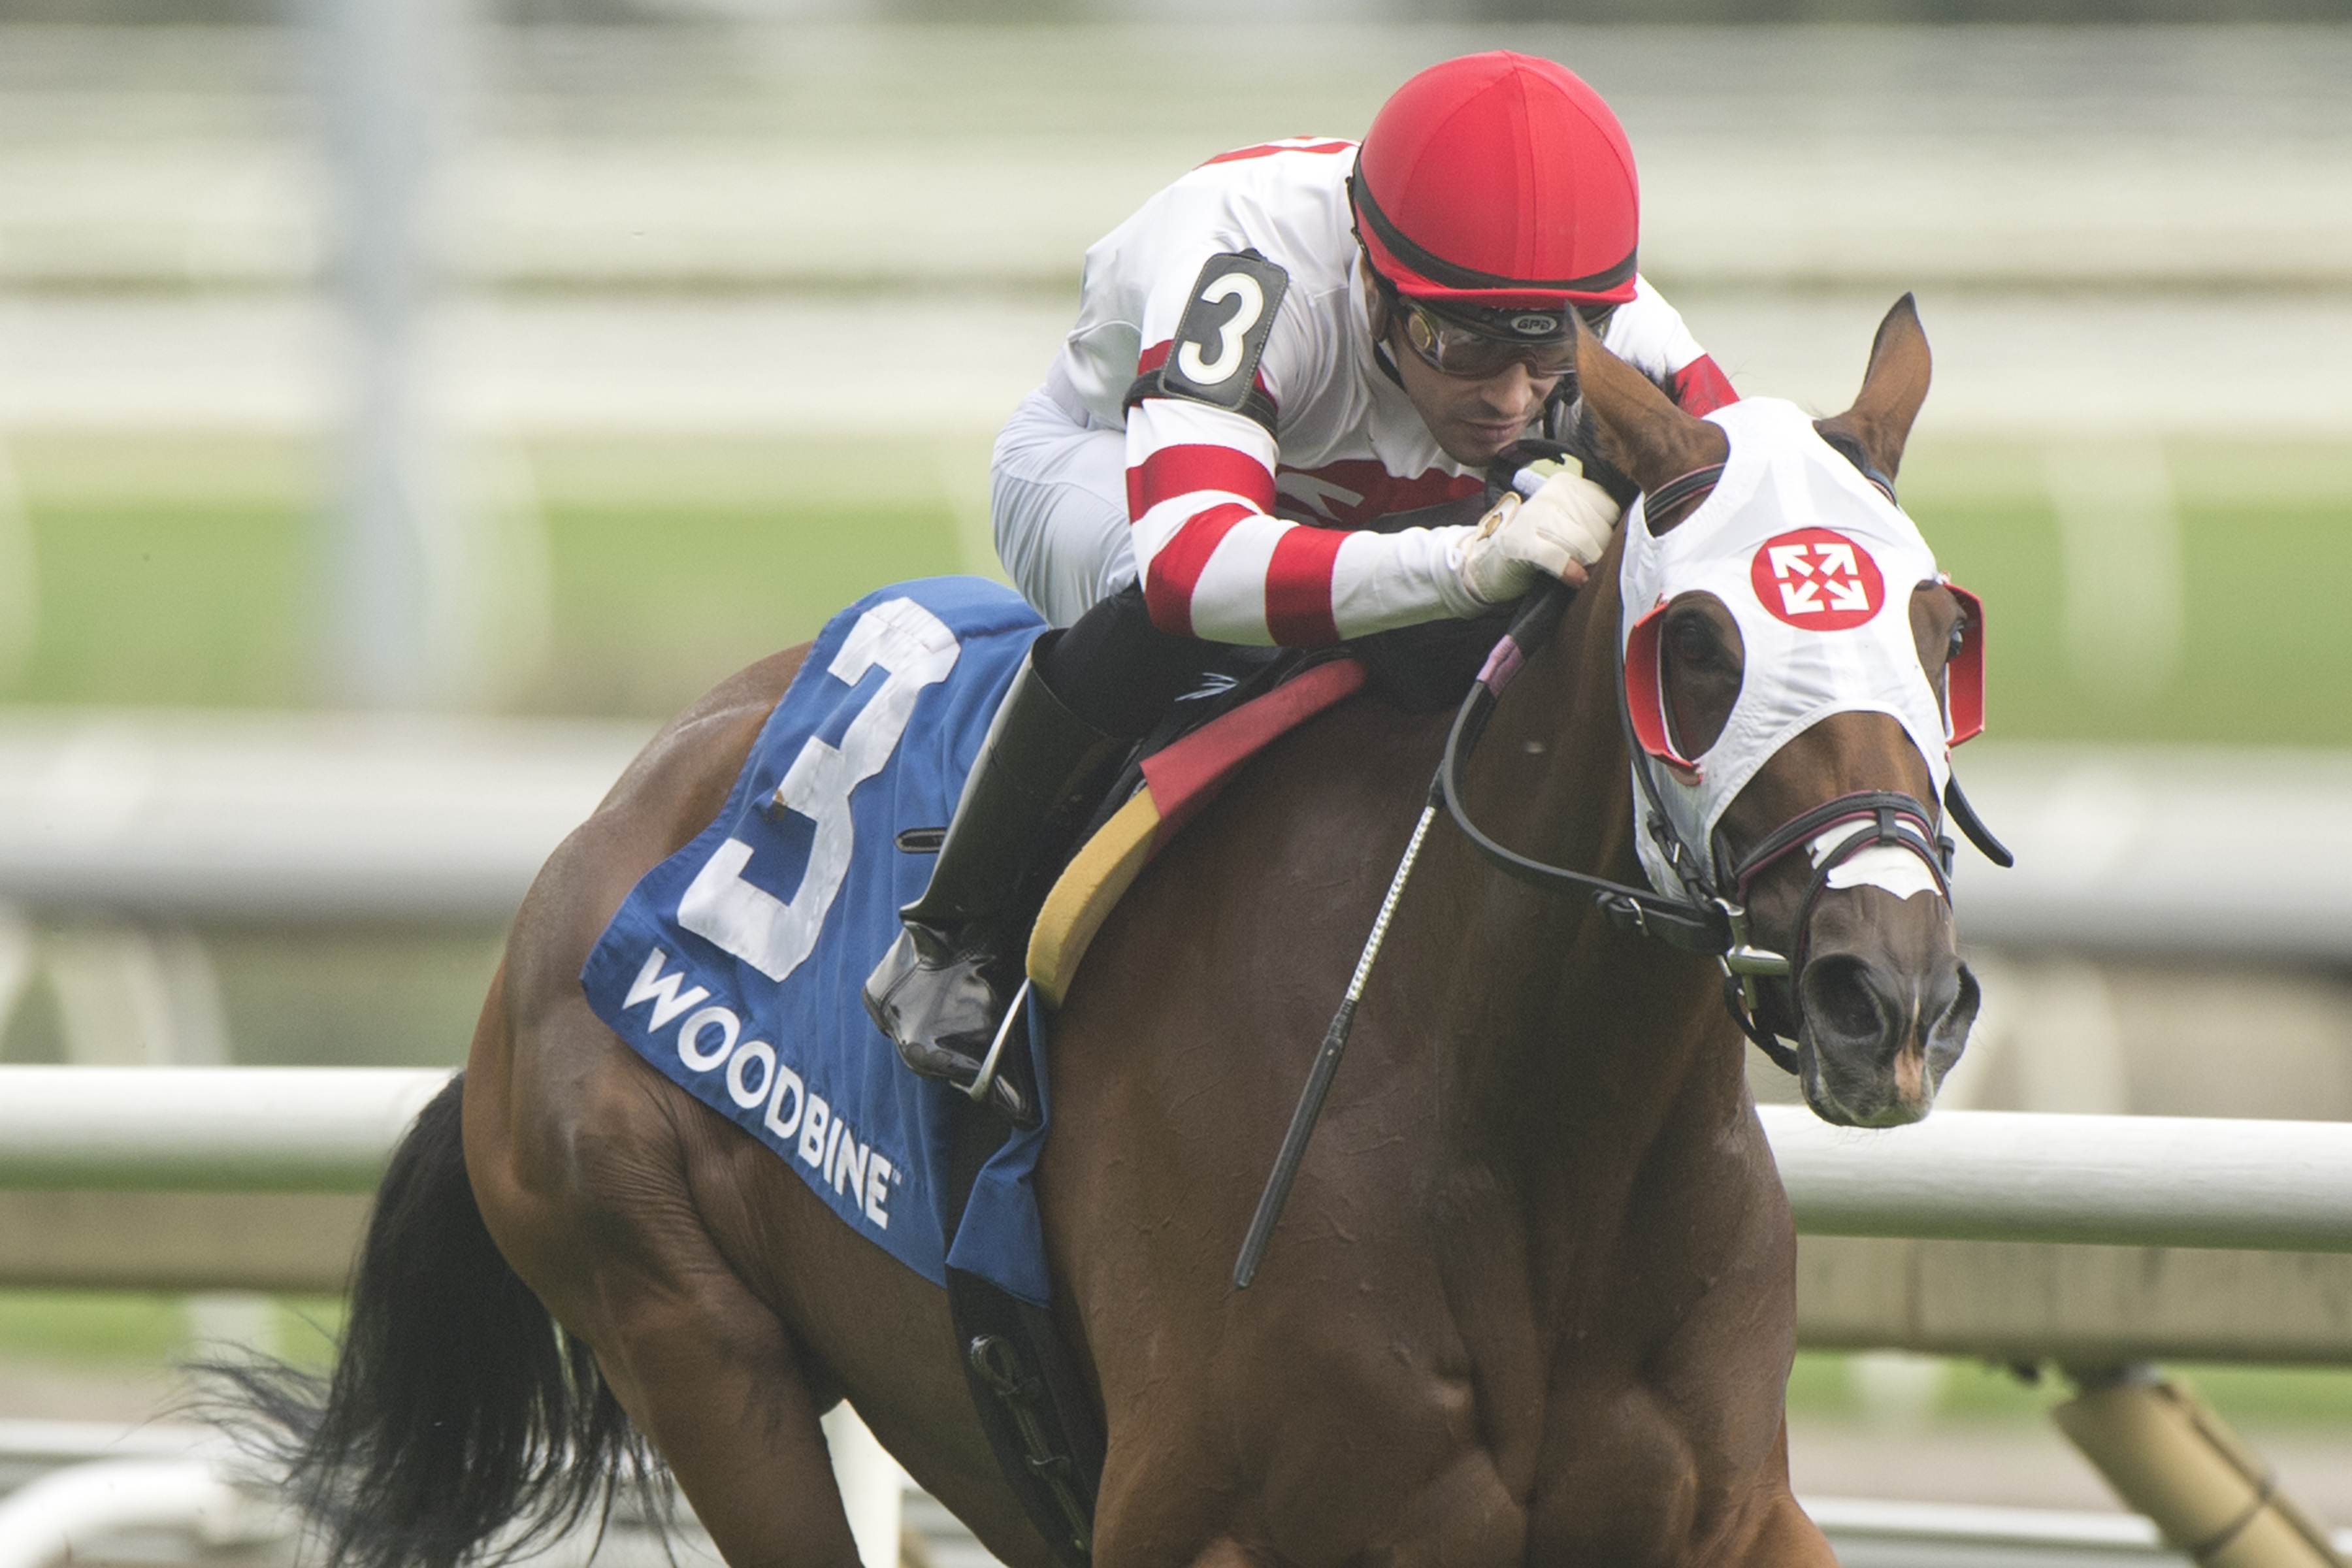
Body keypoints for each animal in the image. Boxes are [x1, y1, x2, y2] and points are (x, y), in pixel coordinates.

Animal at [238, 301, 1976, 1568]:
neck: (1527, 1143)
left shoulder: (1736, 1515)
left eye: (1938, 625)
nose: (1882, 992)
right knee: (1149, 587)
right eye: (1699, 646)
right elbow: (1195, 553)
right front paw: (1513, 543)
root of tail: (598, 838)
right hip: (680, 1324)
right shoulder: (1203, 1519)